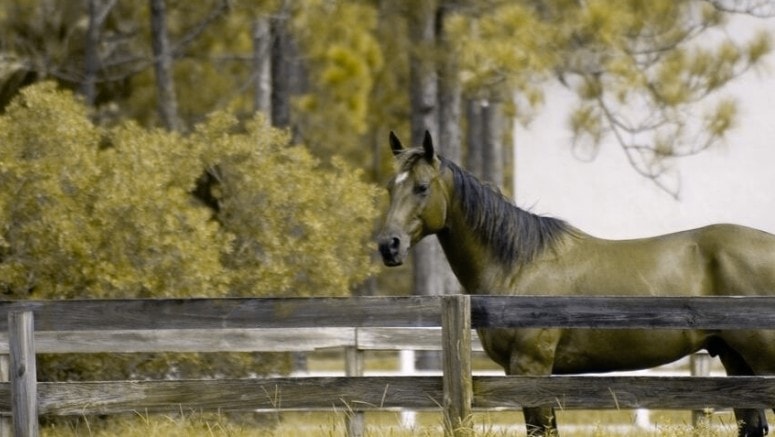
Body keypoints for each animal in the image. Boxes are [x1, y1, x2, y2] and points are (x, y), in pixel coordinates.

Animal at [378, 130, 775, 436]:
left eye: (422, 187)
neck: (518, 264)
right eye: (389, 188)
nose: (388, 245)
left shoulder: (531, 369)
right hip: (736, 361)